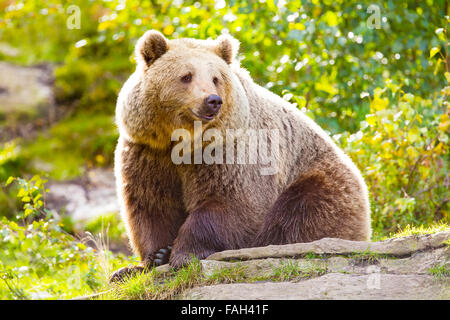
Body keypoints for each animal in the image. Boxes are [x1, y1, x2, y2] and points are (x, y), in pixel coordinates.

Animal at [110, 30, 370, 280]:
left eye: (215, 78)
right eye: (186, 76)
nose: (212, 100)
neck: (182, 140)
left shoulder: (228, 150)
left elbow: (230, 201)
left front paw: (184, 254)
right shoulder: (149, 152)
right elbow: (151, 204)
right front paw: (152, 257)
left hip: (319, 182)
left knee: (301, 215)